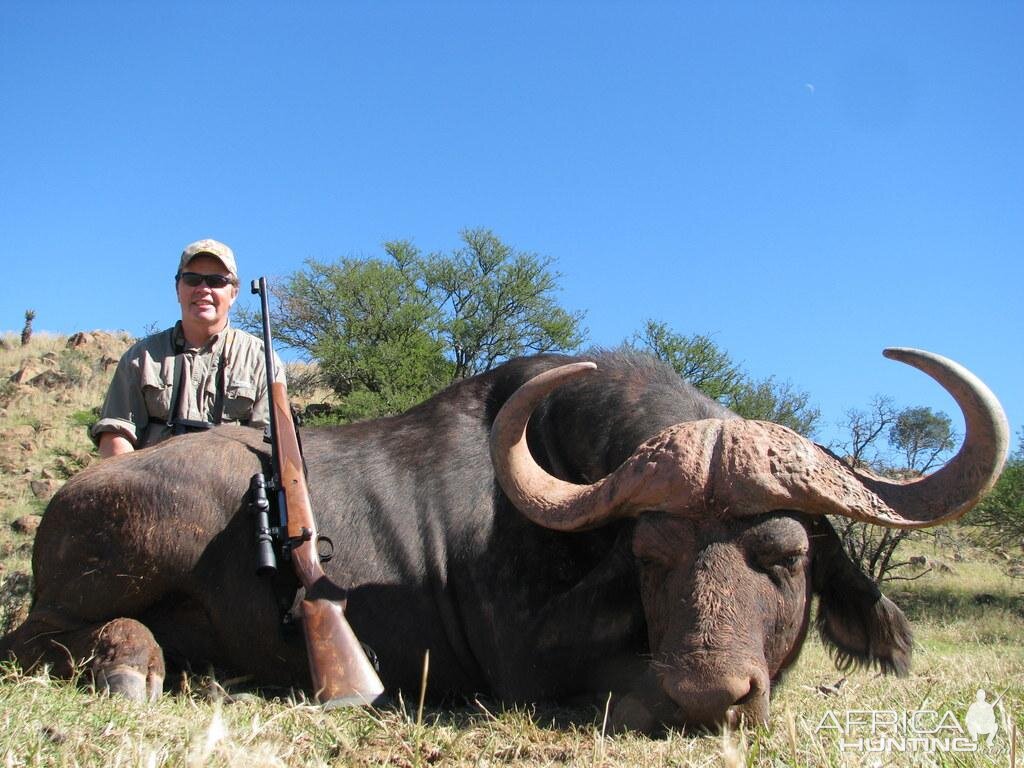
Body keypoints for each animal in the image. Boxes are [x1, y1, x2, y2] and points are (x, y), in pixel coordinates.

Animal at [0, 348, 1007, 733]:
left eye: (786, 557)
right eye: (650, 558)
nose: (711, 692)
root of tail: (76, 495)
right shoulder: (531, 672)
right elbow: (629, 693)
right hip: (137, 547)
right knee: (34, 638)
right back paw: (133, 662)